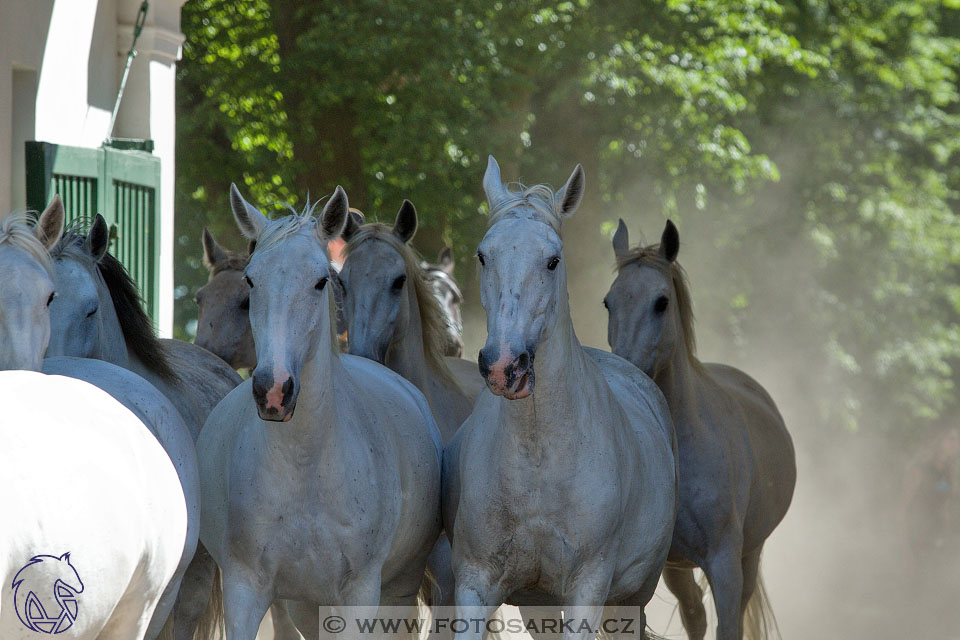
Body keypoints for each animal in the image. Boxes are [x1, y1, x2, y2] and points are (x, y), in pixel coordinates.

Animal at [200, 182, 446, 636]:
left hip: (398, 587)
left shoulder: (360, 593)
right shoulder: (246, 589)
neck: (306, 465)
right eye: (250, 280)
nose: (273, 390)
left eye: (320, 282)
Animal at [440, 156, 676, 640]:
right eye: (483, 255)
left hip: (630, 601)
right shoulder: (474, 582)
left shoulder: (587, 589)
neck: (538, 458)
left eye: (552, 261)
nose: (503, 366)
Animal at [604, 220, 800, 640]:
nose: (625, 374)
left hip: (749, 555)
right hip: (678, 570)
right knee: (694, 613)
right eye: (608, 302)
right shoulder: (653, 571)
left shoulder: (724, 566)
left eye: (661, 302)